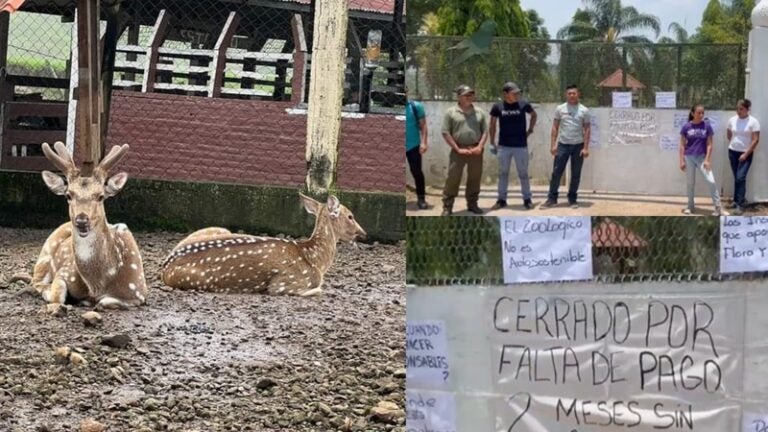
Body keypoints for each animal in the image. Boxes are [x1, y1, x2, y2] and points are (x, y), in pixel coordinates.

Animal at [19, 143, 147, 314]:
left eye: (100, 196)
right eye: (68, 195)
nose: (81, 221)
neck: (97, 284)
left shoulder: (138, 291)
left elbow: (105, 301)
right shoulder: (64, 271)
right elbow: (57, 295)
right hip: (45, 253)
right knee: (35, 281)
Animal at [161, 193, 366, 296]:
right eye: (350, 216)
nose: (363, 233)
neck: (314, 260)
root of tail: (165, 268)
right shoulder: (284, 284)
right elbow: (318, 290)